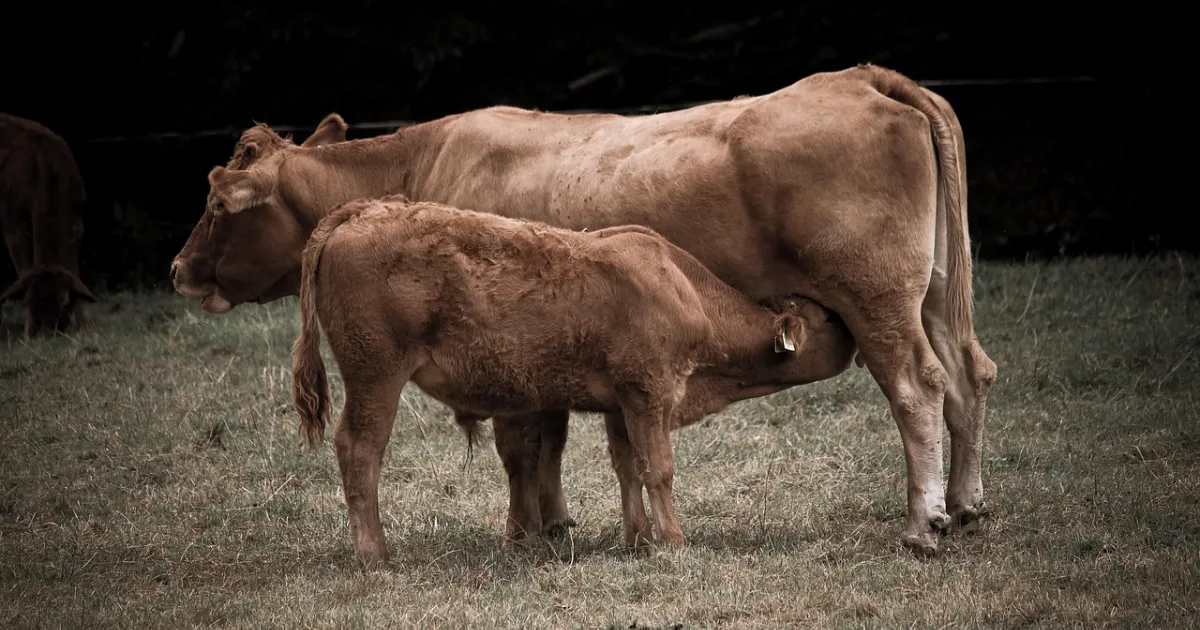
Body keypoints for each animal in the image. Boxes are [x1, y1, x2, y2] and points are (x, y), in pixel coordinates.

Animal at [0, 113, 97, 338]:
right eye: (28, 303)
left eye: (64, 304)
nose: (47, 336)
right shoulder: (11, 225)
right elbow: (23, 270)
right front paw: (28, 334)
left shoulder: (76, 224)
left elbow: (74, 271)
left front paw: (84, 326)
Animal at [288, 194, 857, 566]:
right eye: (825, 319)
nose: (850, 329)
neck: (682, 289)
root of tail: (364, 210)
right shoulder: (650, 393)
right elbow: (659, 469)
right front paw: (673, 542)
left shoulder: (622, 406)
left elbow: (629, 469)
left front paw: (638, 540)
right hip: (375, 377)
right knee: (360, 448)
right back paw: (375, 553)